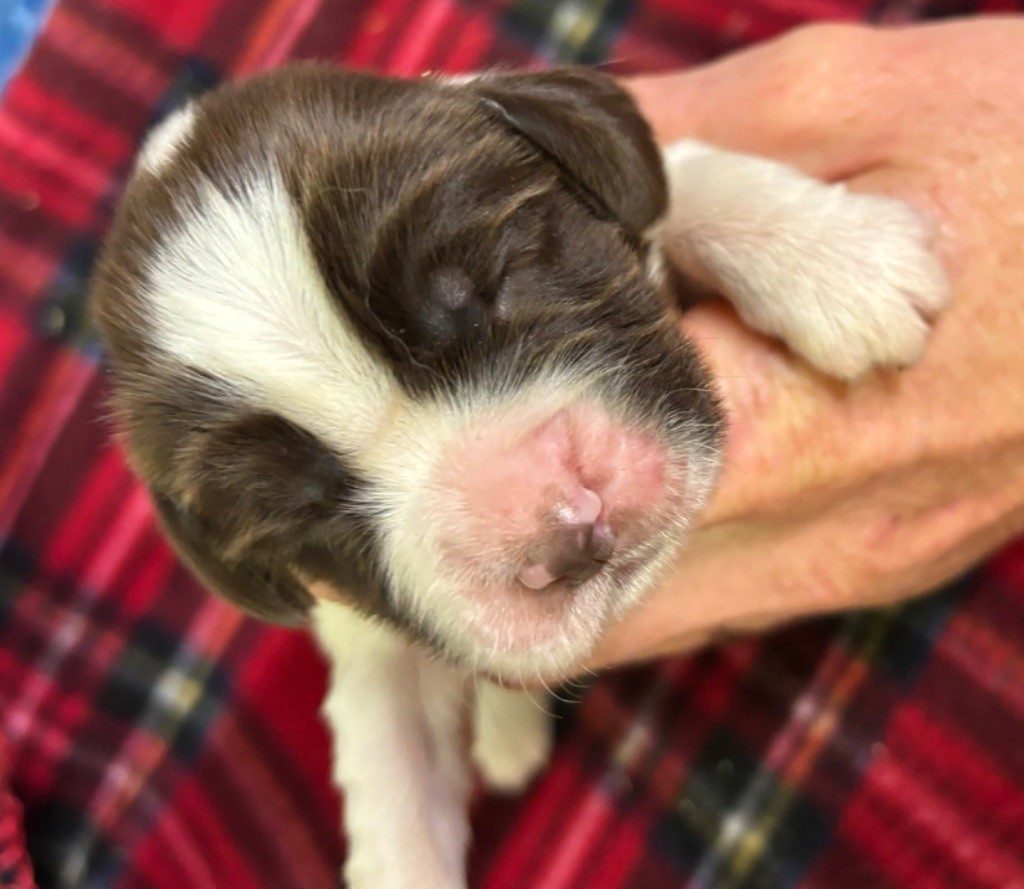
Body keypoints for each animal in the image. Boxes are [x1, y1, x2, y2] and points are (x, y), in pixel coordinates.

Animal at [92, 64, 946, 889]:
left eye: (490, 286)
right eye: (310, 504)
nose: (562, 528)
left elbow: (681, 173)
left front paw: (843, 263)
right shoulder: (372, 650)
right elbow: (394, 788)